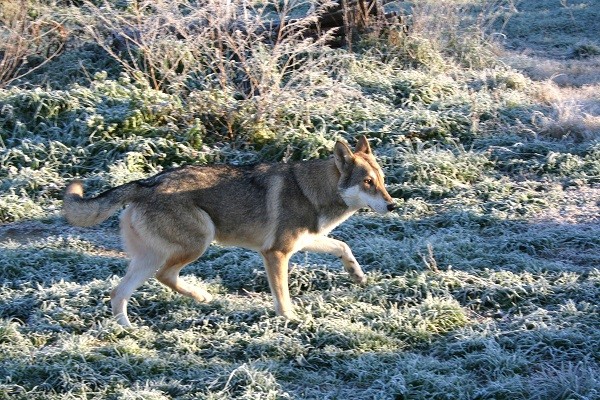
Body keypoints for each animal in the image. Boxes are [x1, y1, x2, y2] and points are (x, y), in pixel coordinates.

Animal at [63, 136, 396, 326]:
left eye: (381, 180)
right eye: (367, 182)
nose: (393, 205)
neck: (311, 191)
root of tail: (145, 184)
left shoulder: (304, 243)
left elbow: (343, 247)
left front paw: (357, 275)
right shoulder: (275, 253)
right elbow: (283, 297)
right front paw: (290, 321)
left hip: (150, 259)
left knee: (118, 292)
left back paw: (129, 330)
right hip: (199, 242)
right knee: (164, 277)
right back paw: (200, 296)